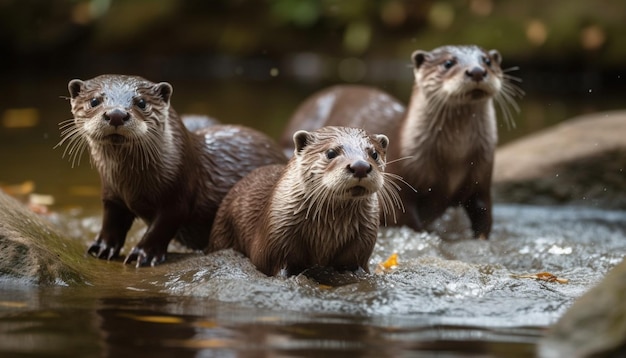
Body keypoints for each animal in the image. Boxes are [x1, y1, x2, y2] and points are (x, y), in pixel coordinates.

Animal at [59, 74, 284, 268]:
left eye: (141, 102)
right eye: (94, 101)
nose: (116, 114)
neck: (131, 186)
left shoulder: (179, 194)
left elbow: (160, 228)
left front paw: (143, 254)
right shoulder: (111, 193)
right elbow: (111, 222)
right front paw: (103, 247)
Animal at [205, 126, 400, 276]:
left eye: (374, 154)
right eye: (331, 152)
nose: (360, 166)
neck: (326, 234)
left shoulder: (362, 242)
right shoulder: (276, 238)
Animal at [280, 45, 520, 241]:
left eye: (487, 61)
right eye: (448, 63)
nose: (477, 71)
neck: (455, 157)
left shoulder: (481, 180)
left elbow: (484, 217)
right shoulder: (400, 191)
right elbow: (408, 222)